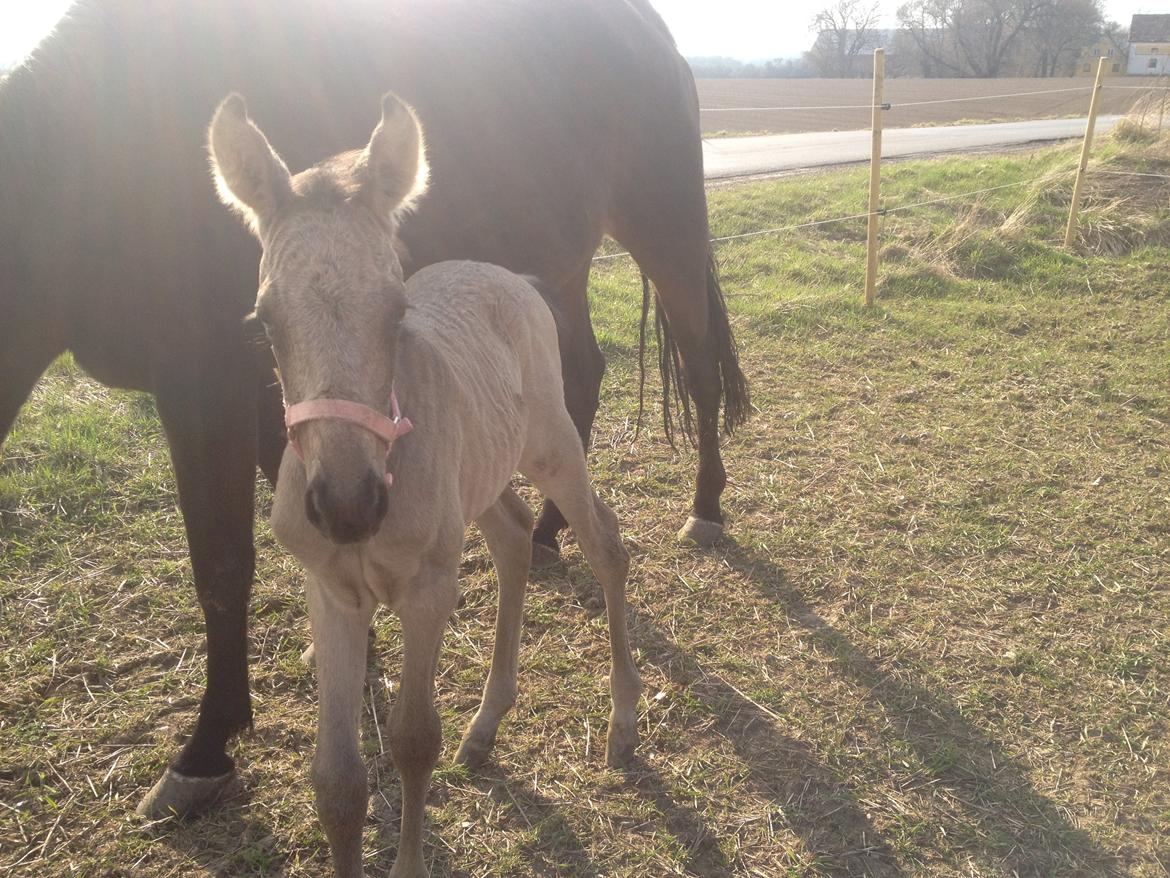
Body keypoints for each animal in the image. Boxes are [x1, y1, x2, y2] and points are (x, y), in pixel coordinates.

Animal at [0, 0, 748, 819]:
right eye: (264, 320)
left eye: (398, 311)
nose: (355, 506)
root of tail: (655, 33)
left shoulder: (202, 383)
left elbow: (222, 566)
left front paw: (206, 747)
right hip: (561, 269)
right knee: (580, 378)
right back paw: (550, 532)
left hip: (665, 230)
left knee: (699, 368)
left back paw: (703, 509)